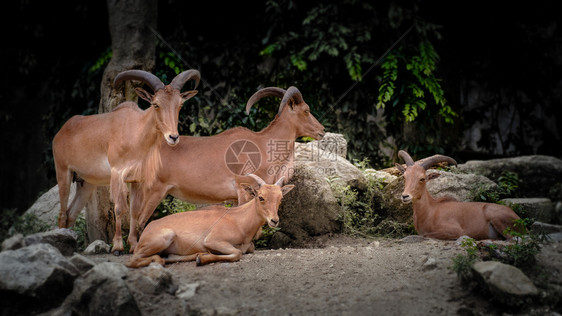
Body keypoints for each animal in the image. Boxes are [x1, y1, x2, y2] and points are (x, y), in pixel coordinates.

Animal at [50, 69, 199, 254]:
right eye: (155, 104)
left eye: (180, 105)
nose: (173, 137)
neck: (136, 132)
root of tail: (61, 133)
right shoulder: (117, 173)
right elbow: (119, 208)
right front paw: (118, 246)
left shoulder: (137, 180)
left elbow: (134, 211)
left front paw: (133, 245)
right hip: (63, 172)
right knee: (63, 213)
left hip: (86, 183)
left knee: (71, 213)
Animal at [127, 174, 294, 268]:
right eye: (261, 197)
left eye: (280, 198)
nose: (274, 220)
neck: (238, 220)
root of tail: (148, 229)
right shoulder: (213, 240)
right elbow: (237, 253)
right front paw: (202, 259)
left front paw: (201, 257)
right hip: (164, 236)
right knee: (132, 260)